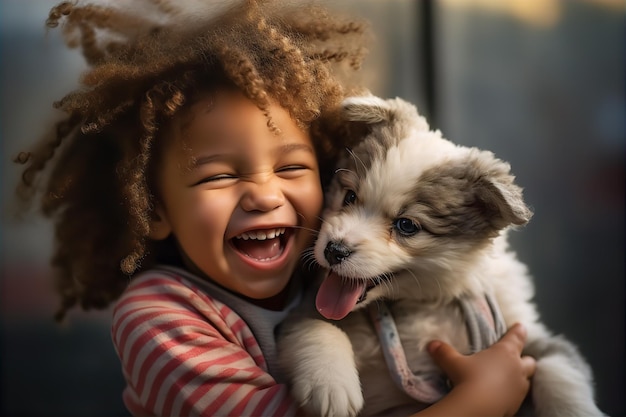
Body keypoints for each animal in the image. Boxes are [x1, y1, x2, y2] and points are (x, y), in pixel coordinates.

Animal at [276, 95, 600, 416]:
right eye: (350, 196)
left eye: (406, 226)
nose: (334, 250)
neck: (424, 302)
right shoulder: (301, 309)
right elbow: (317, 324)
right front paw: (331, 385)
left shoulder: (522, 332)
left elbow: (557, 366)